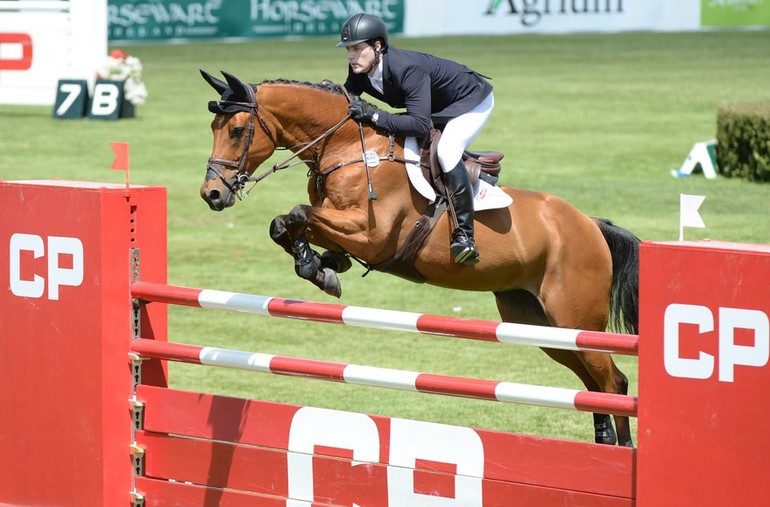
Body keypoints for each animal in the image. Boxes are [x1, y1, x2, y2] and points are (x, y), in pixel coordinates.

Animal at [201, 70, 640, 448]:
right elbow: (287, 224)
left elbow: (295, 215)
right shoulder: (341, 224)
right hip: (537, 322)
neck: (349, 147)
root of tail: (590, 226)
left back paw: (624, 450)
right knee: (592, 384)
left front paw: (316, 267)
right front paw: (322, 266)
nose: (212, 194)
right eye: (214, 129)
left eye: (237, 130)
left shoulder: (372, 234)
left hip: (575, 319)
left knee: (613, 383)